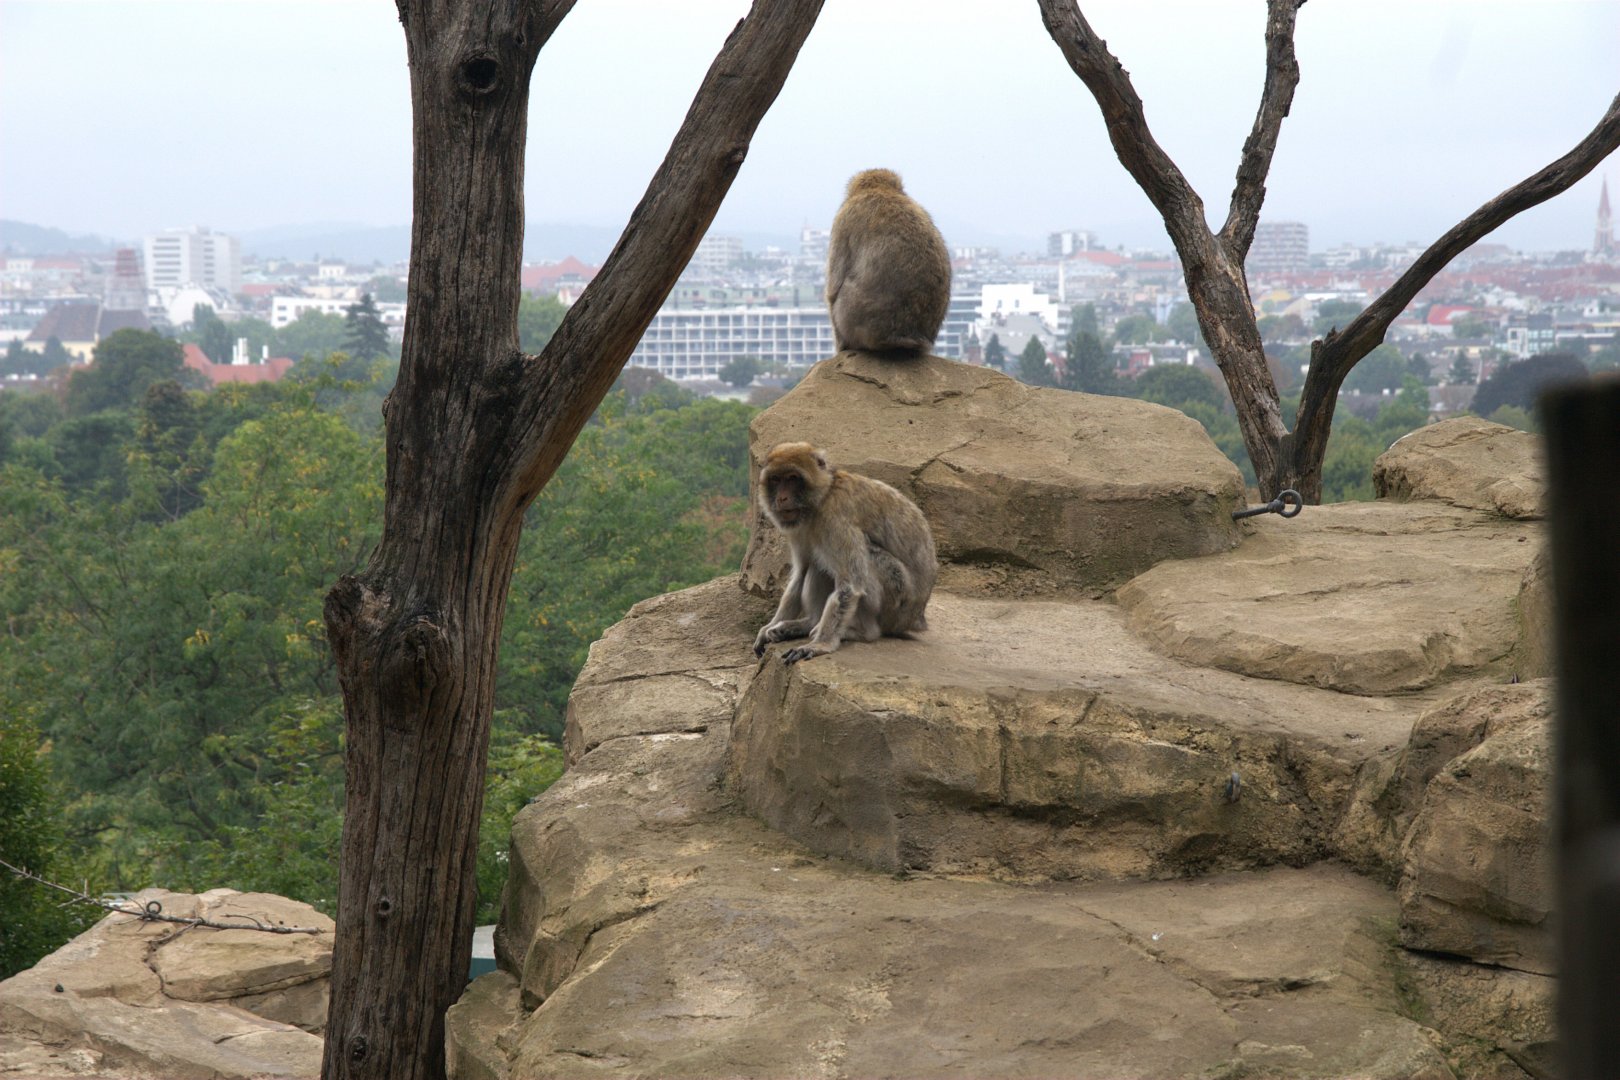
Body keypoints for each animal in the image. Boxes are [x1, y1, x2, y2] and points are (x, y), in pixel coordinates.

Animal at [752, 441, 937, 664]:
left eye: (793, 478)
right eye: (776, 479)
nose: (782, 498)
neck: (823, 497)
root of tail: (918, 618)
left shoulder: (835, 518)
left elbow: (851, 585)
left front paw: (820, 645)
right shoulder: (798, 527)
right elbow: (801, 573)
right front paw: (768, 628)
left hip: (898, 602)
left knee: (866, 558)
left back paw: (863, 632)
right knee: (818, 565)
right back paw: (806, 623)